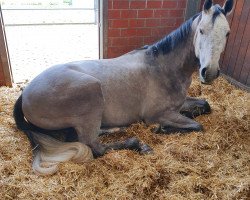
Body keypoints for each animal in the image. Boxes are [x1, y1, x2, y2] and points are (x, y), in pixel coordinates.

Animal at [13, 0, 232, 174]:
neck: (162, 66)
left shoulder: (179, 104)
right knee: (94, 146)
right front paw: (161, 129)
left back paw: (117, 128)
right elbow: (197, 126)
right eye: (201, 30)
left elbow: (205, 106)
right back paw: (138, 145)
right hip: (91, 93)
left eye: (227, 33)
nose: (209, 72)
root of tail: (25, 94)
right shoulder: (157, 114)